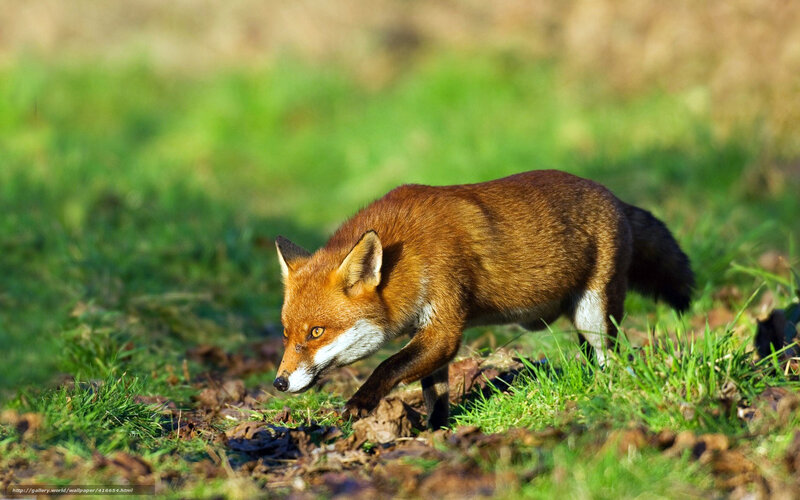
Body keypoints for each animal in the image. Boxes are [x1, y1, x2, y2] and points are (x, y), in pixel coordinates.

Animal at [272, 170, 694, 428]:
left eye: (316, 332)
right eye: (286, 334)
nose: (279, 383)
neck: (408, 256)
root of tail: (615, 198)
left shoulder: (444, 326)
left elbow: (387, 366)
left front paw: (361, 402)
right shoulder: (430, 334)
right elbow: (435, 393)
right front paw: (435, 431)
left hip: (595, 318)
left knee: (614, 360)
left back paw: (604, 393)